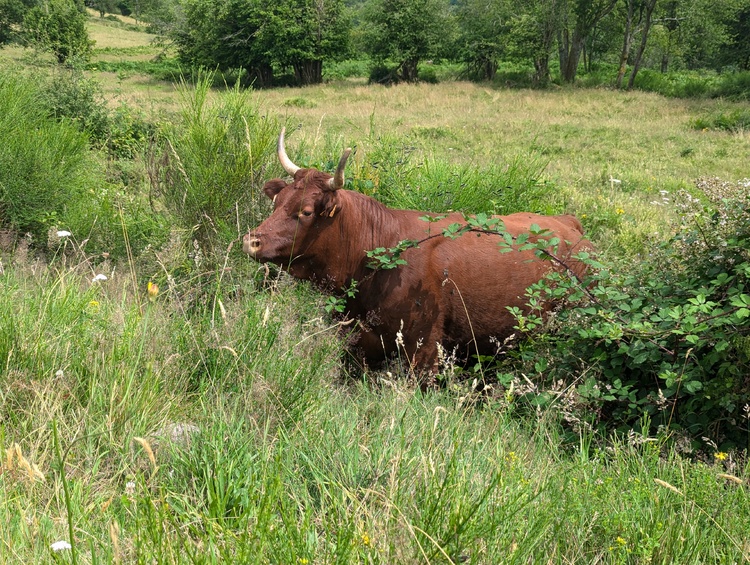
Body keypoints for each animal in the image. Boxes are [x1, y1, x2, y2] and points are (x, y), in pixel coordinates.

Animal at [244, 130, 592, 372]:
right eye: (277, 201)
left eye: (305, 211)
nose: (252, 241)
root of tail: (569, 223)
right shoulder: (358, 341)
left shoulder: (423, 347)